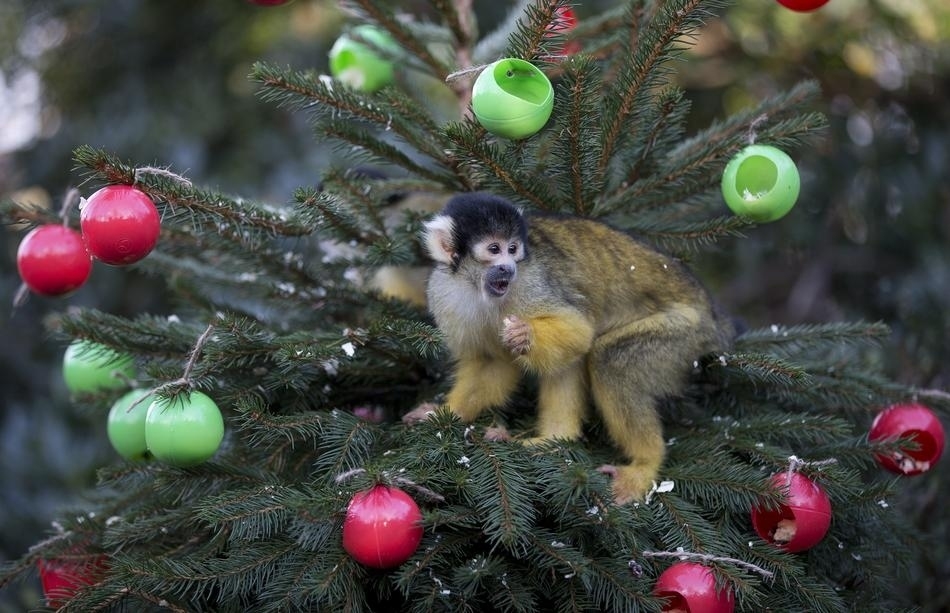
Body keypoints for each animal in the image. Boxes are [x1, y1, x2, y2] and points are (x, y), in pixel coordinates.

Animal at [406, 191, 732, 502]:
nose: (508, 268)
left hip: (686, 334)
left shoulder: (530, 282)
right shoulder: (444, 294)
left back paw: (644, 463)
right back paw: (556, 438)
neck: (477, 286)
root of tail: (712, 314)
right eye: (494, 249)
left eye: (513, 249)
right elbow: (492, 362)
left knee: (607, 359)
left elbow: (579, 329)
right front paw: (444, 413)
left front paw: (525, 335)